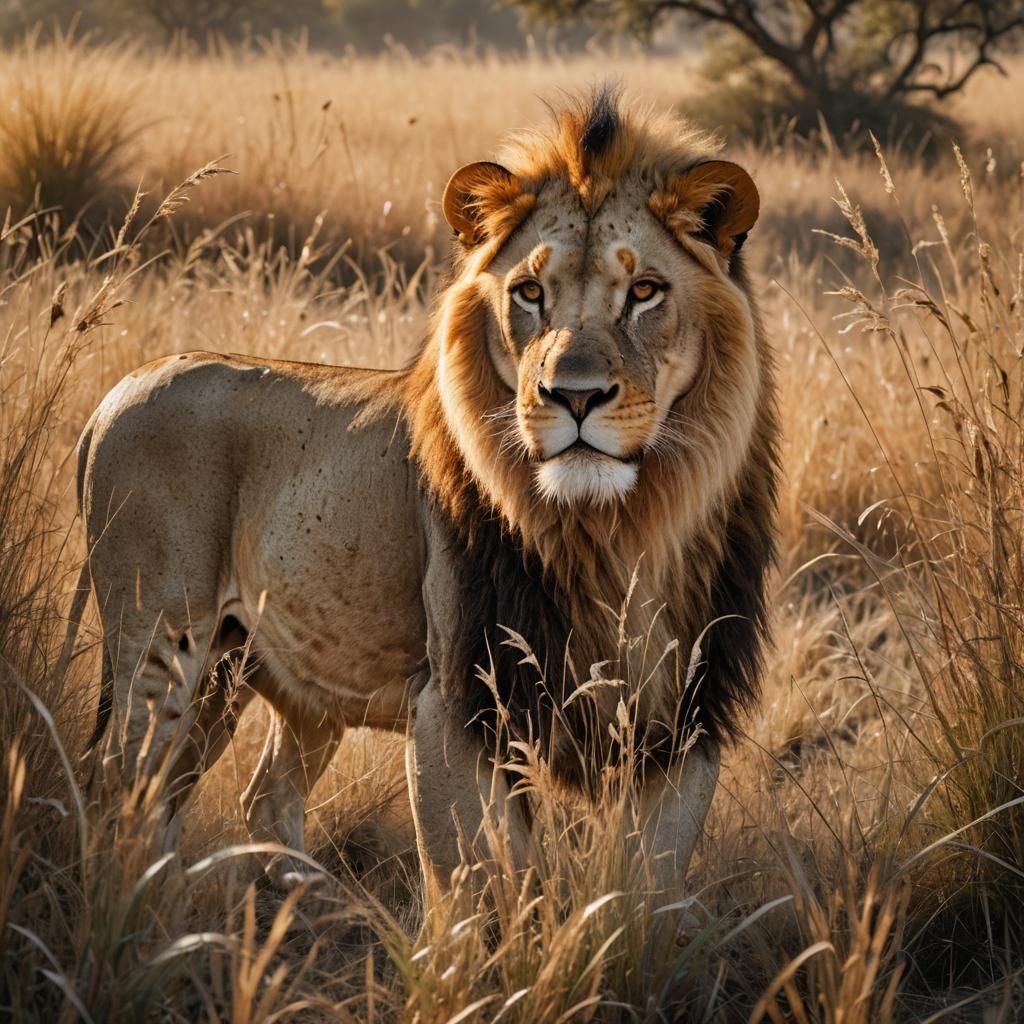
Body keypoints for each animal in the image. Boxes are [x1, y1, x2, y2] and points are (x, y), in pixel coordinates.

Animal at [68, 87, 777, 912]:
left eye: (644, 292)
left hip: (249, 665)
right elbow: (484, 887)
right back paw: (137, 911)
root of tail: (114, 393)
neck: (613, 532)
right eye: (529, 293)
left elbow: (647, 893)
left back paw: (303, 900)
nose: (572, 396)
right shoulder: (456, 700)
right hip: (161, 640)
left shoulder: (687, 717)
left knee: (243, 793)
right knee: (122, 784)